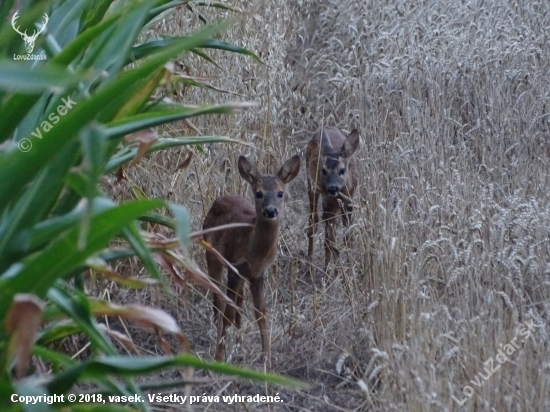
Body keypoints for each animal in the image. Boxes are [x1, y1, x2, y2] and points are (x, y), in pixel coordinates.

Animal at [203, 154, 300, 360]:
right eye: (258, 193)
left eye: (280, 193)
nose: (271, 211)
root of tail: (219, 199)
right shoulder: (235, 268)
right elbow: (228, 313)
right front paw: (219, 356)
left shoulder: (258, 274)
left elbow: (261, 313)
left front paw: (267, 357)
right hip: (211, 254)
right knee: (218, 298)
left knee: (238, 302)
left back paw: (239, 342)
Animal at [306, 125, 362, 274]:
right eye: (324, 170)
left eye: (342, 170)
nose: (332, 188)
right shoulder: (328, 201)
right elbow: (329, 241)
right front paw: (329, 274)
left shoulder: (348, 201)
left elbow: (348, 236)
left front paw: (348, 269)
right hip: (312, 185)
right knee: (313, 221)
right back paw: (310, 265)